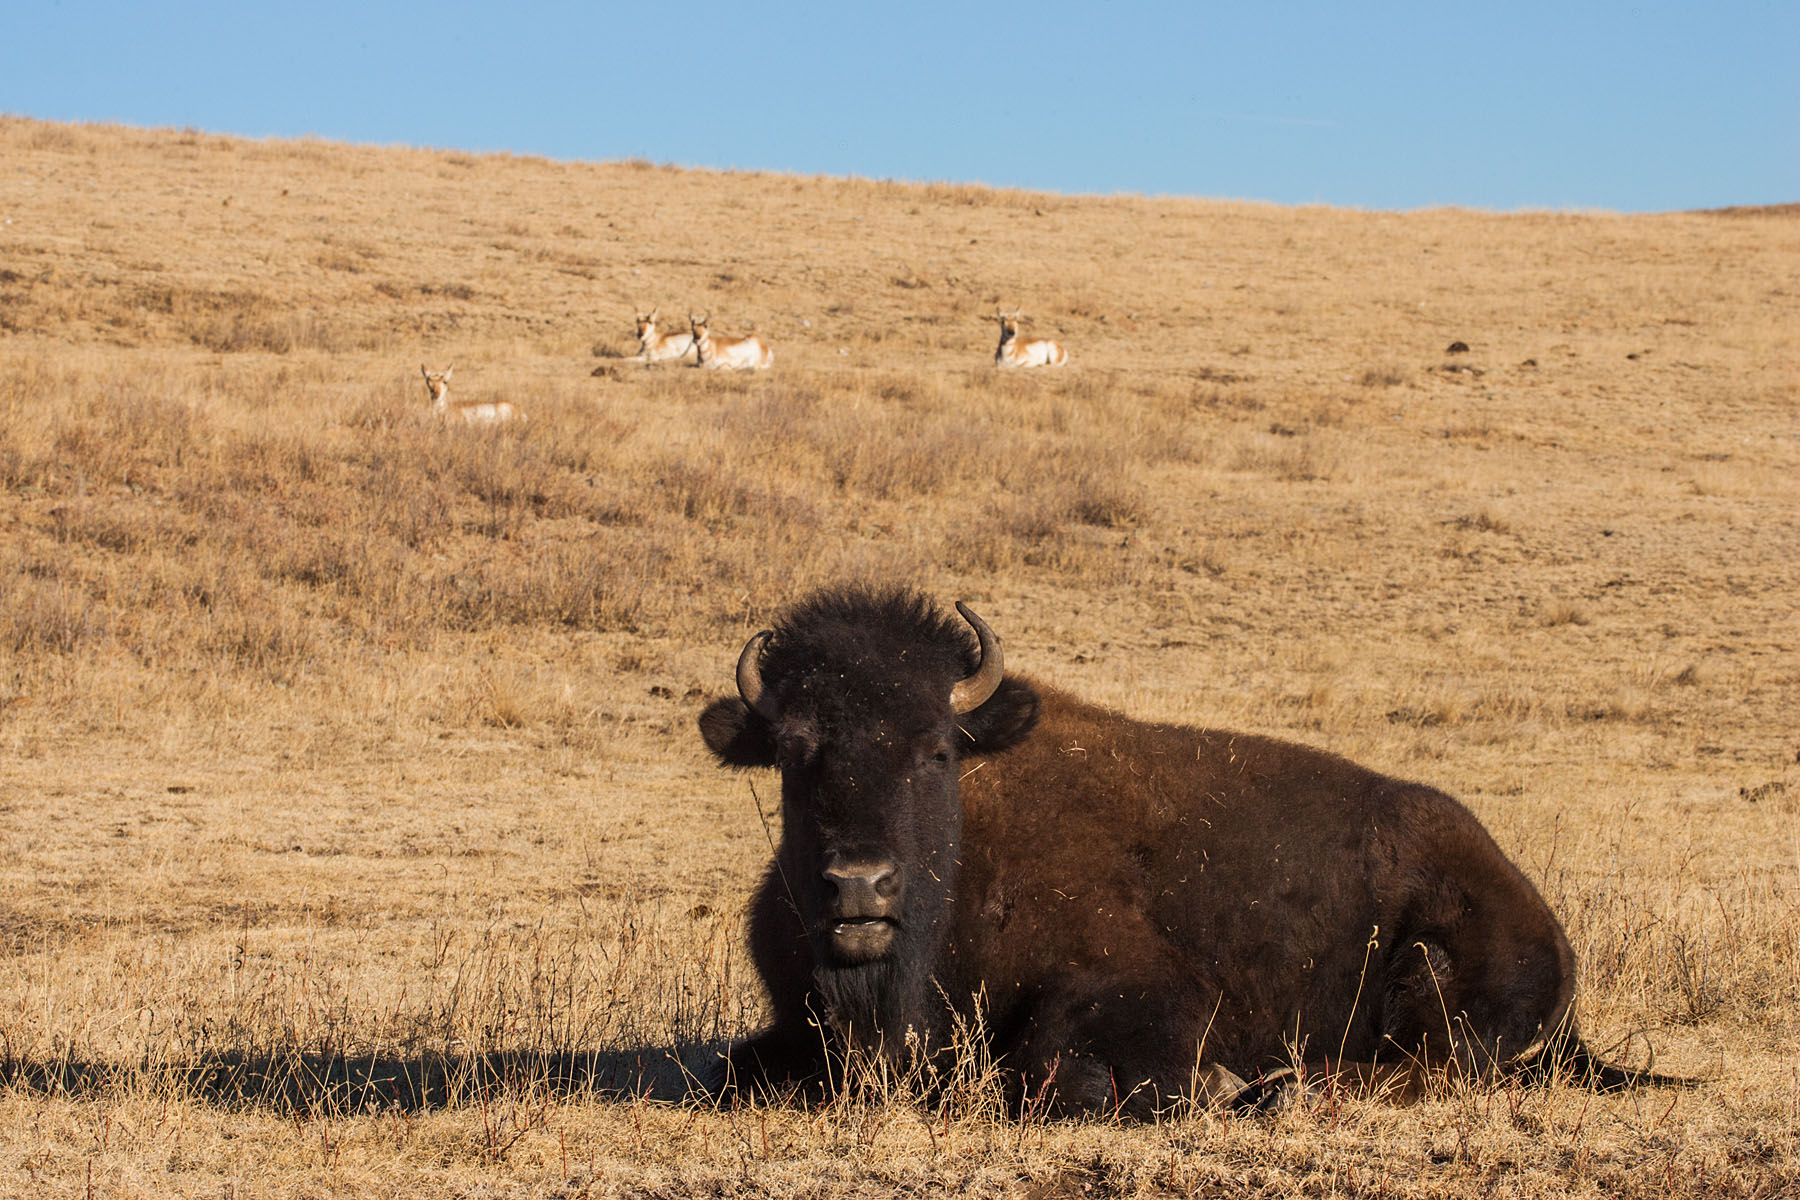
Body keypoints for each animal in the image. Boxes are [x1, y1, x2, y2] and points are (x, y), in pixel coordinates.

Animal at [699, 585, 1671, 1116]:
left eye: (935, 749)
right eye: (792, 752)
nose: (860, 887)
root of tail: (1548, 928)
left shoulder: (1148, 995)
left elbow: (1066, 1077)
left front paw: (1218, 1084)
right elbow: (729, 1070)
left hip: (1436, 986)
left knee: (1426, 1071)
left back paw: (1279, 1089)